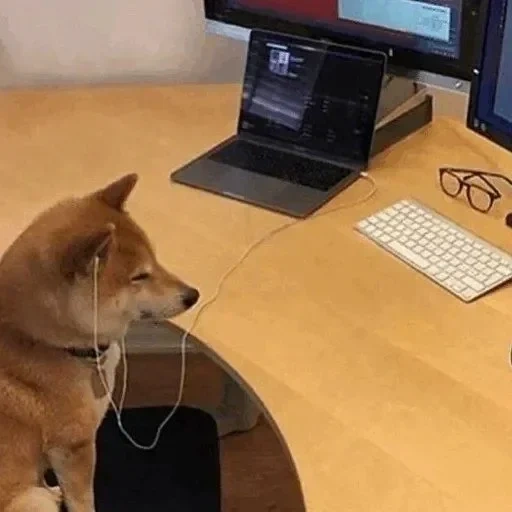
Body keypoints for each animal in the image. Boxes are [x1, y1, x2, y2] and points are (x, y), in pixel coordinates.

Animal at [0, 174, 199, 510]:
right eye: (139, 277)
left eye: (155, 260)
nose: (193, 295)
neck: (44, 341)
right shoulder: (75, 447)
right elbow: (83, 501)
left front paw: (54, 488)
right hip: (29, 501)